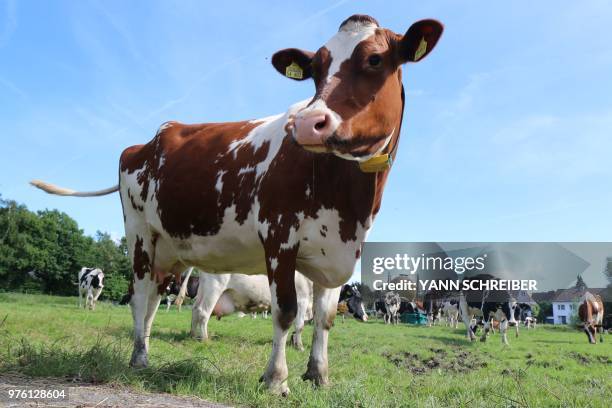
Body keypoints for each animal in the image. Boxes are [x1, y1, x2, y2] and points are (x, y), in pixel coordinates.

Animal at [29, 14, 444, 394]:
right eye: (315, 70)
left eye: (375, 59)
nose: (308, 124)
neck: (348, 200)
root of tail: (147, 141)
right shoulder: (280, 236)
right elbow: (287, 311)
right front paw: (276, 379)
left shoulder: (336, 251)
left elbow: (324, 318)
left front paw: (318, 376)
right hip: (140, 235)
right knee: (140, 297)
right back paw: (140, 357)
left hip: (170, 249)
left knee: (153, 301)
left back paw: (142, 349)